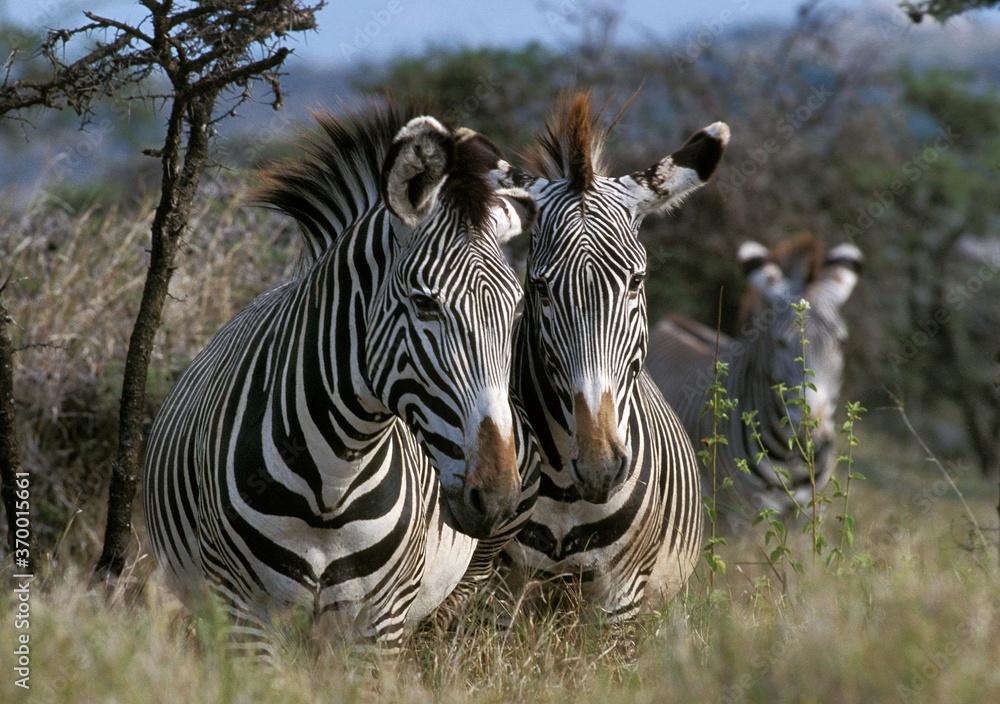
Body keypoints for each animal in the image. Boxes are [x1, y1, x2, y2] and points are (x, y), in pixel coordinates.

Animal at [142, 105, 540, 654]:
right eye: (424, 304)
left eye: (516, 308)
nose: (496, 494)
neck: (332, 479)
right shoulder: (247, 615)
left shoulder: (380, 622)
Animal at [494, 93, 729, 619]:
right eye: (539, 288)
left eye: (637, 281)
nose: (600, 466)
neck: (566, 495)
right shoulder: (491, 591)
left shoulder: (620, 599)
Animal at [644, 235, 863, 526]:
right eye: (780, 342)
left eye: (841, 342)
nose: (814, 438)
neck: (790, 459)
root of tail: (672, 320)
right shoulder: (736, 518)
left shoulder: (807, 516)